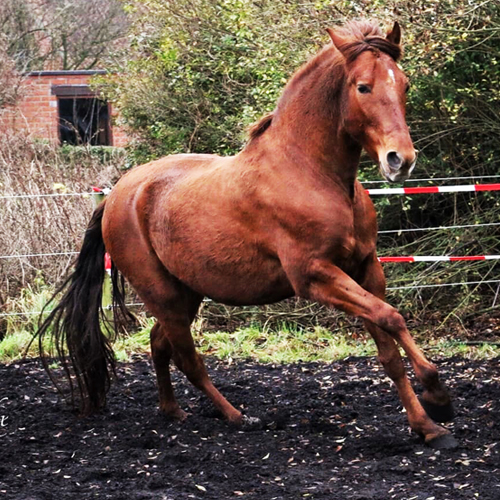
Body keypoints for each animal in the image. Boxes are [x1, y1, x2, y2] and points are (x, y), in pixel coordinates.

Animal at [35, 20, 458, 450]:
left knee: (159, 343)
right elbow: (392, 317)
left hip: (185, 292)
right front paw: (438, 397)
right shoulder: (315, 276)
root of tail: (118, 193)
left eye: (403, 84)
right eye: (363, 87)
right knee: (187, 358)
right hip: (164, 295)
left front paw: (428, 425)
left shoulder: (365, 268)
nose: (400, 160)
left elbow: (388, 346)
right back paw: (236, 416)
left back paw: (173, 411)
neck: (310, 173)